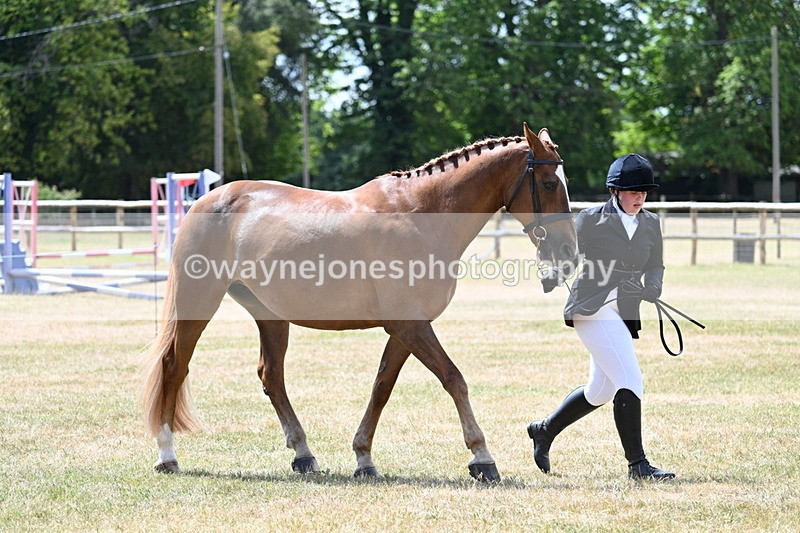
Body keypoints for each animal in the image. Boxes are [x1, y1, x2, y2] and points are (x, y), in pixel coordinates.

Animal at [141, 122, 577, 482]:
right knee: (174, 366)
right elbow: (454, 379)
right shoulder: (410, 325)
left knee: (272, 376)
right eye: (549, 183)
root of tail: (208, 201)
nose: (569, 253)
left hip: (271, 315)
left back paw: (304, 455)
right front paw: (482, 458)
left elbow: (381, 387)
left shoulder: (405, 329)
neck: (421, 214)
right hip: (199, 302)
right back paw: (167, 455)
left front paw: (364, 458)